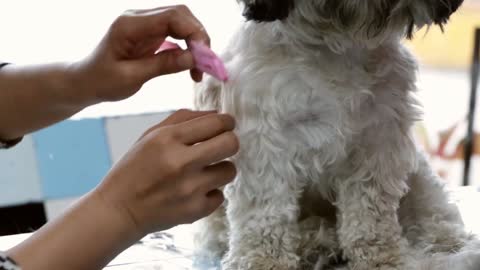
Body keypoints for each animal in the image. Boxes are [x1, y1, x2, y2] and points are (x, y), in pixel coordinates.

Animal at [193, 0, 478, 270]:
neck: (336, 39)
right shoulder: (264, 140)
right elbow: (266, 209)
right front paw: (263, 260)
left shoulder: (379, 137)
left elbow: (370, 211)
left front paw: (382, 257)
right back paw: (317, 243)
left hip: (420, 177)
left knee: (434, 215)